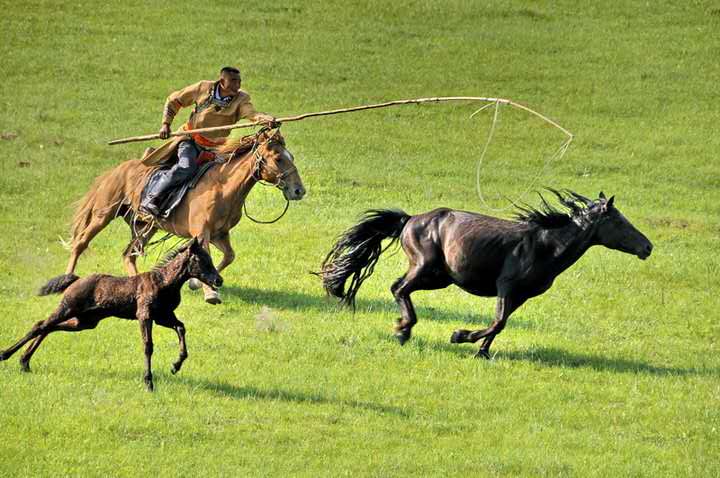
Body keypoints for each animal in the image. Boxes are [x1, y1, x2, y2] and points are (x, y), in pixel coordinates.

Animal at [0, 237, 222, 390]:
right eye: (200, 259)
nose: (218, 280)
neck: (164, 282)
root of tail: (75, 280)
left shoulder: (163, 317)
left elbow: (181, 328)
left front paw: (175, 366)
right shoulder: (144, 315)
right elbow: (148, 346)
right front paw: (149, 382)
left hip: (85, 322)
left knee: (49, 327)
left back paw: (24, 362)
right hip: (69, 307)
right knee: (40, 325)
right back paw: (7, 355)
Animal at [62, 127, 304, 302]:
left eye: (291, 156)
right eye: (278, 158)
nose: (299, 191)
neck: (223, 187)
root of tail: (115, 171)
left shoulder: (220, 234)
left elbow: (229, 256)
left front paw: (196, 283)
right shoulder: (202, 233)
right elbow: (207, 256)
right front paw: (210, 292)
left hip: (145, 227)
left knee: (129, 255)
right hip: (104, 215)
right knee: (80, 243)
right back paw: (66, 280)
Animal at [320, 190, 652, 358]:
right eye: (619, 222)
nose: (647, 247)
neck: (546, 245)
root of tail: (410, 219)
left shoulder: (521, 296)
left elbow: (499, 325)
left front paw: (481, 351)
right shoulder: (507, 287)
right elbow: (498, 322)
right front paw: (459, 336)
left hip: (440, 278)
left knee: (399, 287)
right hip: (425, 267)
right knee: (399, 288)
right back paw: (403, 330)